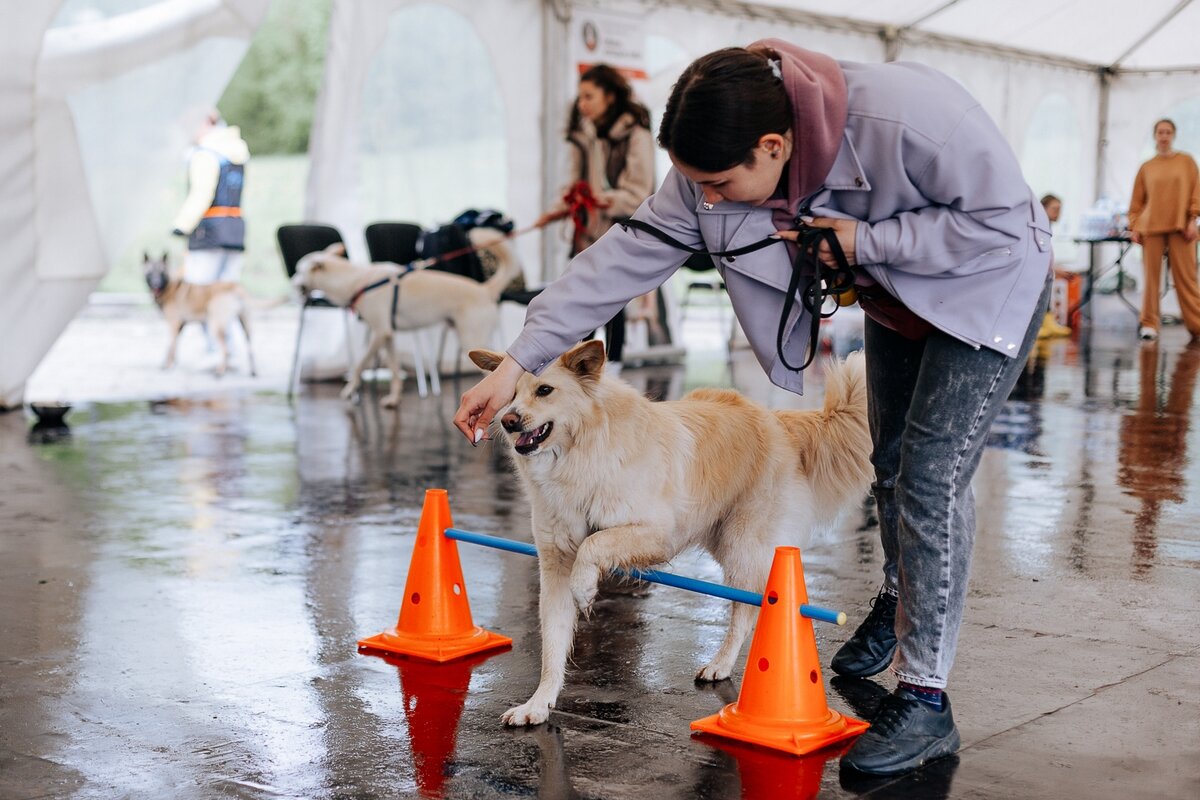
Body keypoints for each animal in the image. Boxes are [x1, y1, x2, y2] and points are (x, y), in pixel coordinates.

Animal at [292, 230, 523, 407]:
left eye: (297, 271)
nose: (292, 283)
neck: (357, 280)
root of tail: (485, 289)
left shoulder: (379, 333)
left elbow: (359, 363)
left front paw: (349, 389)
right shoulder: (388, 337)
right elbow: (394, 371)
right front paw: (394, 399)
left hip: (471, 338)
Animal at [472, 340, 878, 729]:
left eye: (544, 390)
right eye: (509, 394)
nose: (508, 421)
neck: (581, 456)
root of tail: (778, 421)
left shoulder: (656, 533)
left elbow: (593, 543)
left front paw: (585, 587)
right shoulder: (555, 563)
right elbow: (553, 643)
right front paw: (538, 705)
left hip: (742, 547)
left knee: (747, 610)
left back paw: (721, 664)